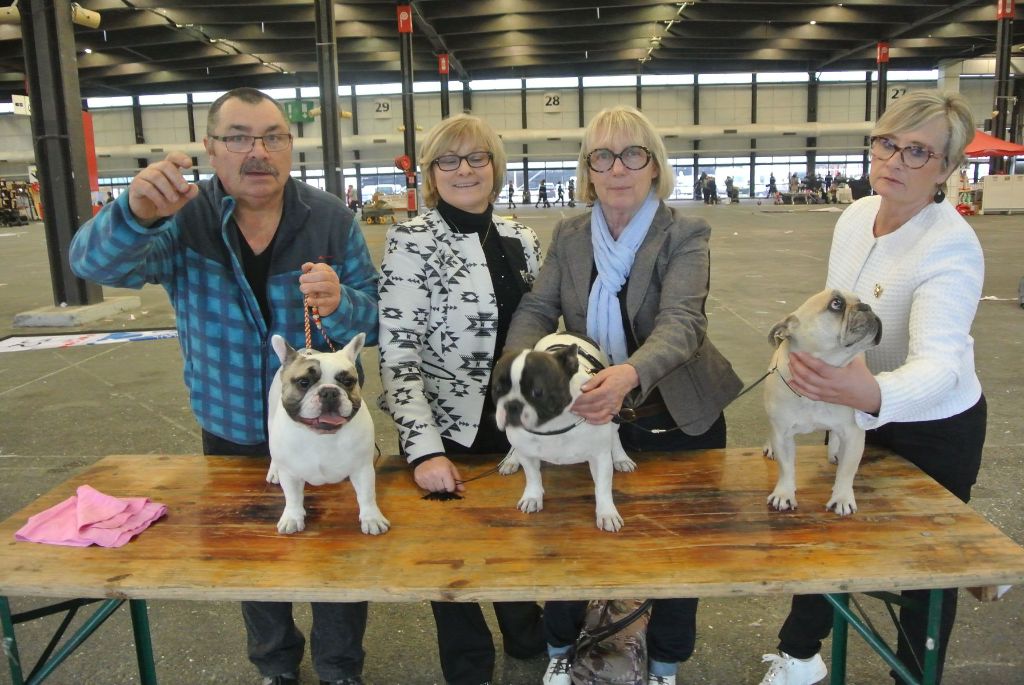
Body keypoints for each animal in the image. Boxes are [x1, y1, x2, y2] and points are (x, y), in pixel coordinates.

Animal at [268, 331, 387, 532]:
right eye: (303, 382)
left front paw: (372, 518)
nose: (330, 392)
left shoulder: (362, 469)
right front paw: (292, 517)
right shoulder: (290, 474)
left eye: (348, 381)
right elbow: (292, 497)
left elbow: (367, 494)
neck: (321, 436)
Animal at [491, 333, 634, 532]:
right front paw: (533, 497)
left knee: (615, 435)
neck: (552, 425)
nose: (512, 405)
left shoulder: (600, 456)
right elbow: (532, 477)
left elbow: (603, 487)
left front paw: (607, 513)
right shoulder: (527, 454)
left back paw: (621, 458)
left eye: (537, 391)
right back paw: (511, 459)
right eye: (497, 389)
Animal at [770, 286, 880, 516]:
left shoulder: (853, 435)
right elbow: (786, 467)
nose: (866, 306)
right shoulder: (782, 434)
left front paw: (842, 498)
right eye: (836, 304)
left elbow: (847, 471)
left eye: (860, 300)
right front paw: (784, 494)